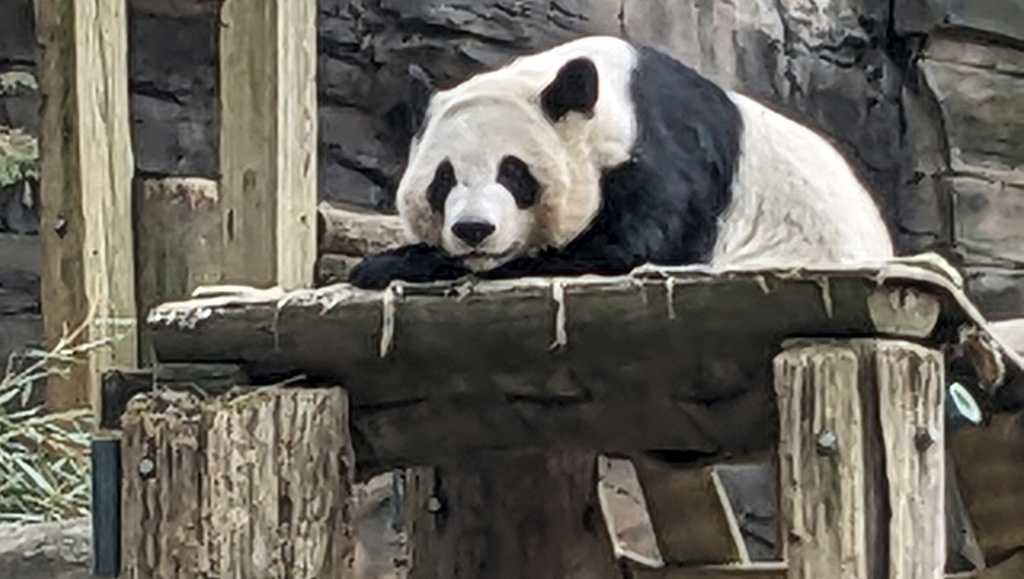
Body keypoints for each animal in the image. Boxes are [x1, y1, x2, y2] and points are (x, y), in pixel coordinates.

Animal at [348, 36, 893, 290]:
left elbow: (623, 249)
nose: (474, 230)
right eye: (443, 179)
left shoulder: (665, 157)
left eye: (514, 173)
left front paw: (390, 263)